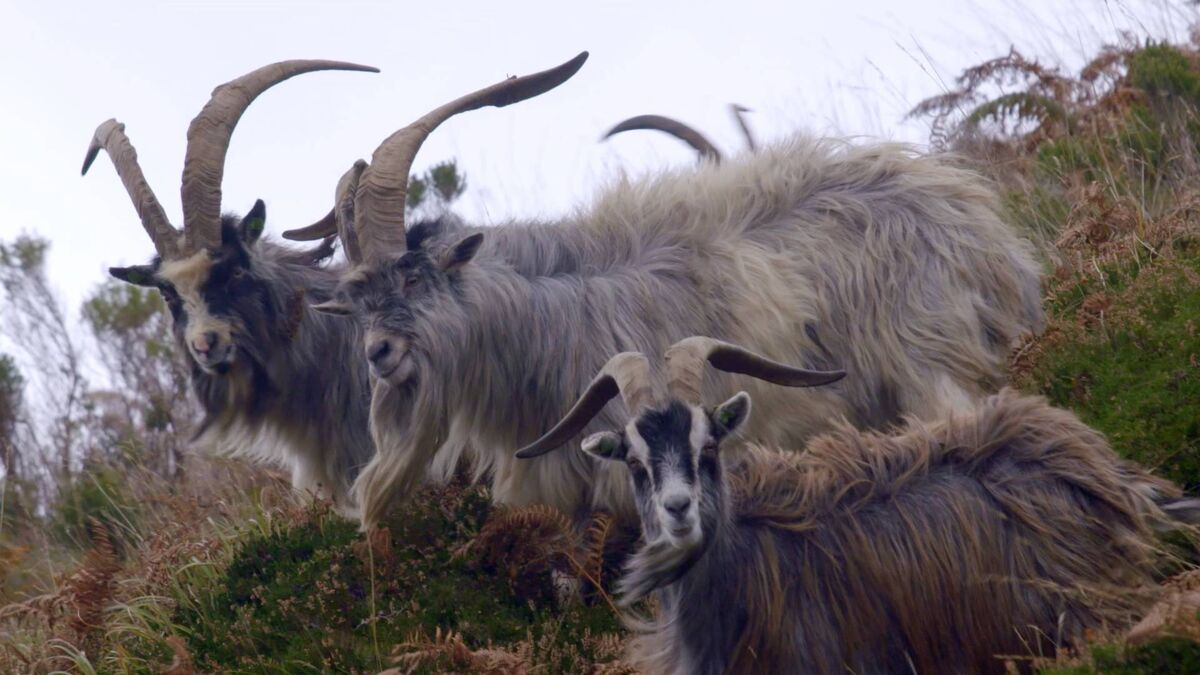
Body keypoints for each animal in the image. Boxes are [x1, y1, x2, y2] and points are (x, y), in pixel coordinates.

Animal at [287, 52, 1045, 529]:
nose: (380, 354)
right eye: (356, 301)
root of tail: (978, 220)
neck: (545, 320)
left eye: (414, 277)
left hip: (928, 362)